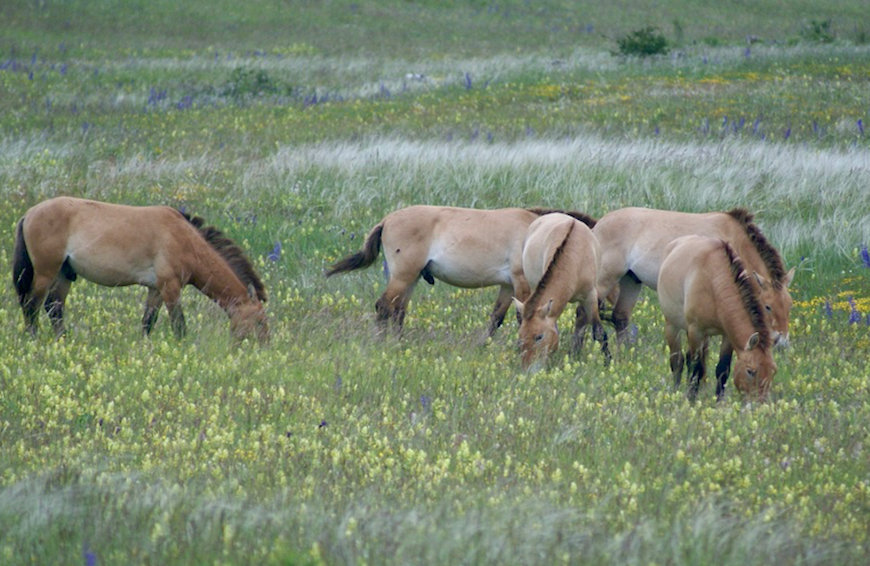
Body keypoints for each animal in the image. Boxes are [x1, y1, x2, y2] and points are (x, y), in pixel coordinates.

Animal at [11, 197, 268, 344]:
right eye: (259, 322)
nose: (263, 348)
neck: (184, 240)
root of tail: (29, 213)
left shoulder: (156, 289)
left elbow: (148, 322)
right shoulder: (170, 287)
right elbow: (179, 325)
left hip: (64, 275)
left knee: (54, 309)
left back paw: (63, 341)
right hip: (45, 273)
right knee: (32, 306)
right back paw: (34, 340)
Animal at [328, 205, 600, 336]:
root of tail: (386, 220)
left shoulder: (507, 285)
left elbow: (496, 318)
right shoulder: (521, 283)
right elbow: (520, 316)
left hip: (411, 278)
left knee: (398, 311)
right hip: (403, 276)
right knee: (384, 307)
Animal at [516, 215, 608, 370]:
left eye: (539, 337)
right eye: (521, 336)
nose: (527, 370)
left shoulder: (590, 296)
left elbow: (599, 332)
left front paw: (609, 362)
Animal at [592, 207, 796, 346]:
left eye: (789, 305)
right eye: (767, 306)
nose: (782, 341)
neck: (733, 239)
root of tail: (597, 226)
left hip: (631, 281)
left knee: (620, 318)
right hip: (605, 279)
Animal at [660, 237, 776, 402]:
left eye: (773, 371)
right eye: (750, 371)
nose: (760, 403)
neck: (713, 282)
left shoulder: (727, 335)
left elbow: (722, 369)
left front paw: (718, 401)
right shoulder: (696, 330)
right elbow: (696, 368)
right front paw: (691, 400)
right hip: (672, 326)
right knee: (678, 361)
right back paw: (675, 392)